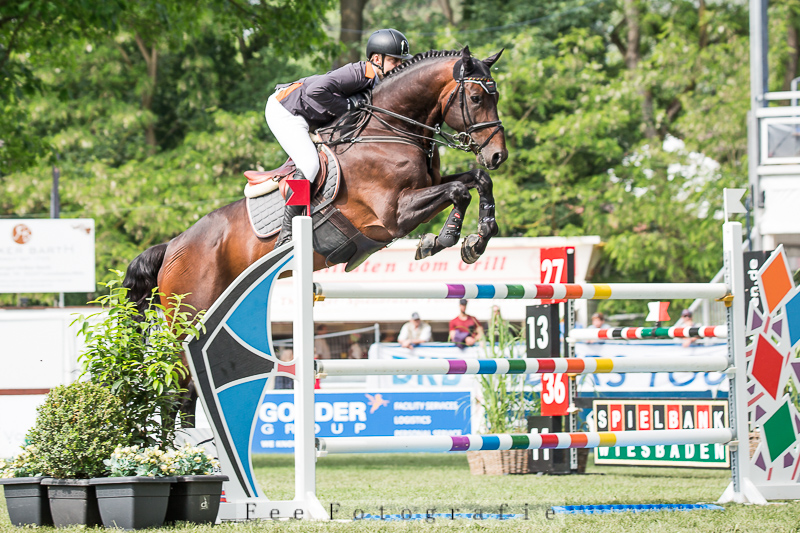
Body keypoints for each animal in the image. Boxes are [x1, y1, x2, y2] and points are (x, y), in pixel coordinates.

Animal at [123, 46, 508, 420]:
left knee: (186, 394)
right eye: (476, 97)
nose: (498, 156)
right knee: (178, 391)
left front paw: (479, 237)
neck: (390, 130)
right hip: (189, 322)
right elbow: (458, 192)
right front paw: (443, 239)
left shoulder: (428, 188)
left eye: (496, 96)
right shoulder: (394, 214)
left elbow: (476, 181)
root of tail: (172, 246)